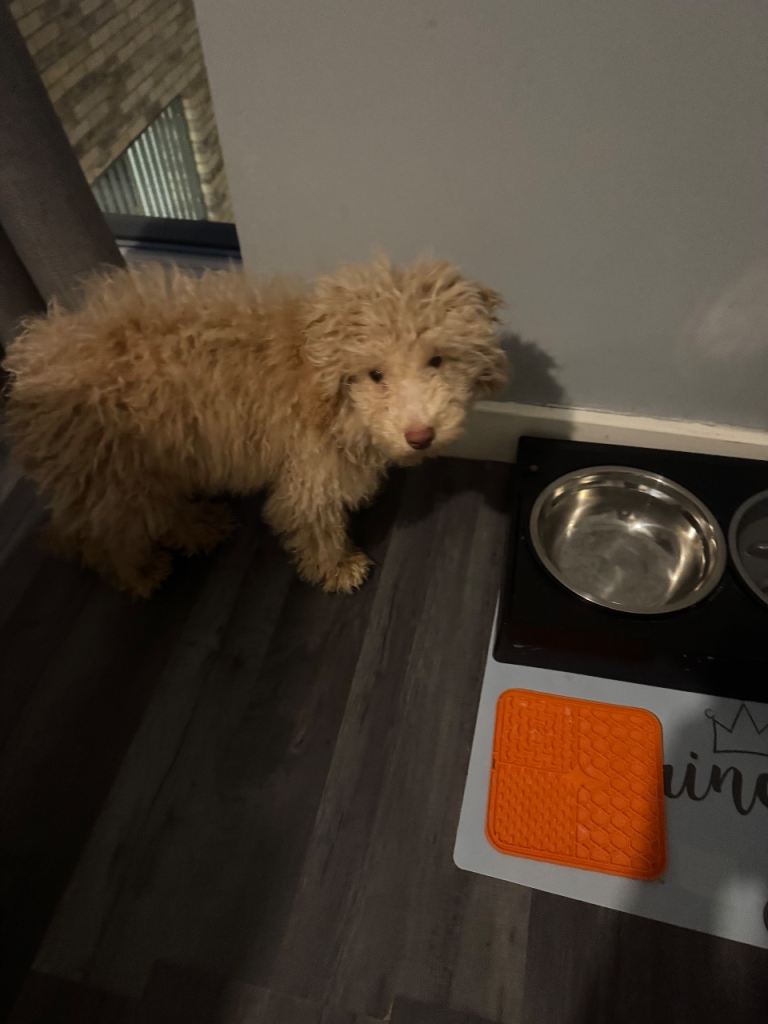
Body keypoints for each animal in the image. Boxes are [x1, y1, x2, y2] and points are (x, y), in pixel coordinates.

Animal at [3, 257, 506, 596]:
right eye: (375, 374)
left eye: (436, 361)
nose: (420, 436)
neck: (319, 374)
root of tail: (30, 362)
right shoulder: (310, 472)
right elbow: (314, 522)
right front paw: (336, 568)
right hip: (115, 473)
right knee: (108, 534)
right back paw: (139, 573)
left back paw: (198, 526)